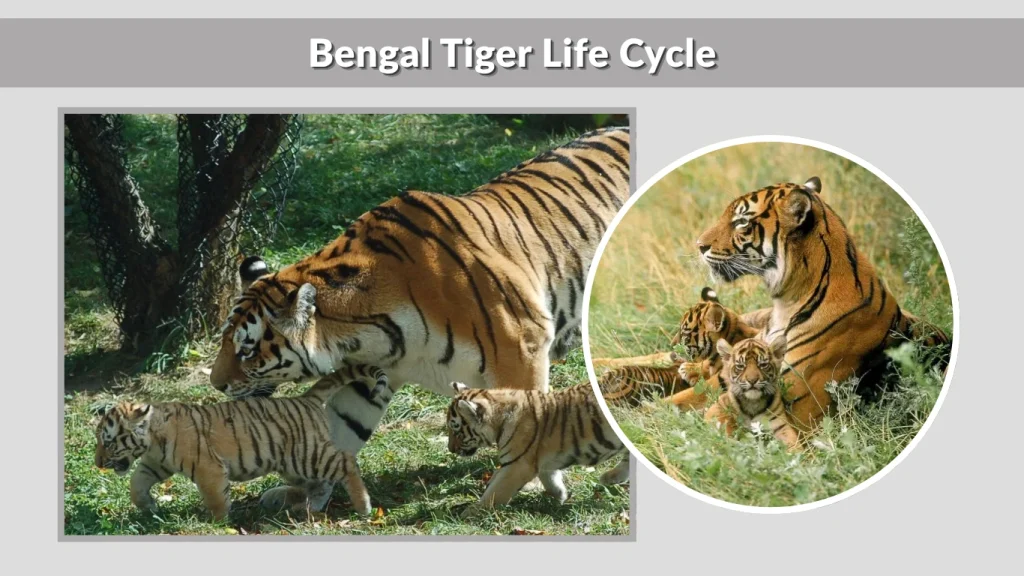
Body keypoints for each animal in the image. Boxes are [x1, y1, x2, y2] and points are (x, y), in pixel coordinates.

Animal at [92, 368, 390, 520]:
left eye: (108, 442)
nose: (97, 463)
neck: (152, 439)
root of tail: (306, 398)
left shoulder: (208, 469)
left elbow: (215, 498)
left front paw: (218, 524)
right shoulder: (155, 464)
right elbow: (136, 484)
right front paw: (148, 506)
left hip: (308, 456)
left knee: (346, 462)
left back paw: (363, 507)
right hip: (294, 466)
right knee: (320, 484)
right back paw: (307, 509)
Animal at [207, 127, 631, 494]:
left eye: (247, 350)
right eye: (225, 342)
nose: (216, 385)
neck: (367, 330)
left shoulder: (522, 346)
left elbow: (529, 420)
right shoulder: (371, 372)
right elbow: (341, 430)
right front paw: (301, 494)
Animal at [446, 381, 629, 517]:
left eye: (456, 430)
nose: (450, 449)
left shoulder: (517, 466)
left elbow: (495, 492)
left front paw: (470, 512)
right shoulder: (542, 459)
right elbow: (550, 478)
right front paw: (561, 495)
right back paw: (610, 478)